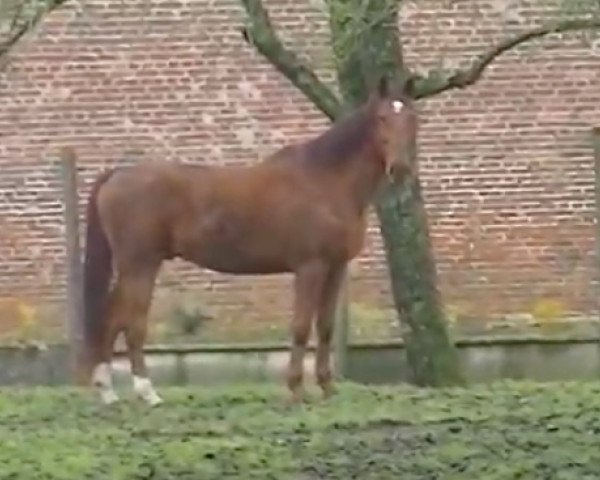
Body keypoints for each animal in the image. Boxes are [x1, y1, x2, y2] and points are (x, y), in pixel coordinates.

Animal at [81, 75, 418, 404]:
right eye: (382, 118)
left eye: (412, 118)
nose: (400, 168)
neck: (325, 180)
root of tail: (117, 174)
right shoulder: (310, 267)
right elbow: (300, 326)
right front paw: (296, 389)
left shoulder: (335, 268)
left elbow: (324, 326)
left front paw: (327, 387)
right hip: (140, 265)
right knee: (132, 323)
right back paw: (147, 392)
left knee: (111, 319)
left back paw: (108, 391)